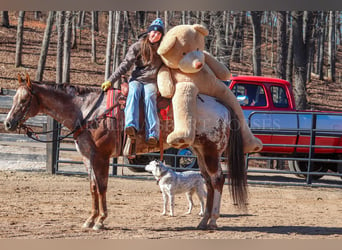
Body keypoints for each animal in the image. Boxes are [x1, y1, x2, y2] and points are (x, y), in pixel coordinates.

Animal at [4, 73, 247, 229]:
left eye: (24, 99)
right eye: (14, 98)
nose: (7, 123)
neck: (87, 111)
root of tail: (222, 105)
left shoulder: (101, 157)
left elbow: (102, 186)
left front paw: (100, 221)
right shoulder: (87, 157)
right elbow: (93, 187)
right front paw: (90, 220)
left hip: (211, 150)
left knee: (217, 180)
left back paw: (212, 220)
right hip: (200, 151)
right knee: (208, 181)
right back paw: (203, 221)